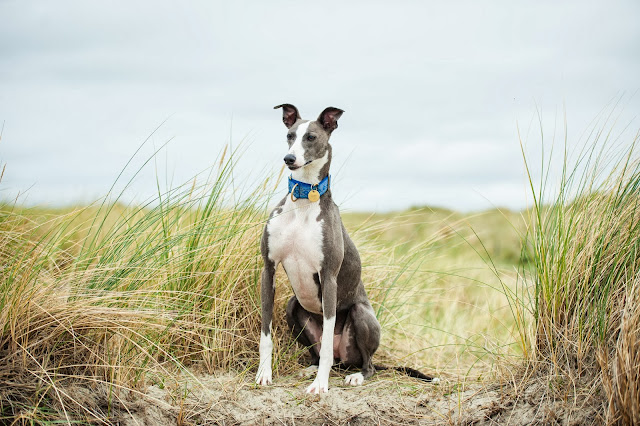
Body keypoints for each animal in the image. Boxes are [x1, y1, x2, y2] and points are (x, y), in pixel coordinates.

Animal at [256, 102, 384, 392]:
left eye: (311, 137)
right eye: (290, 135)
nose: (289, 159)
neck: (304, 200)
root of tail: (345, 360)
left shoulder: (329, 278)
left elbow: (326, 344)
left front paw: (320, 386)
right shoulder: (268, 269)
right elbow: (266, 335)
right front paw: (264, 374)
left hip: (361, 315)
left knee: (365, 363)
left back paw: (356, 375)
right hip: (292, 306)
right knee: (316, 353)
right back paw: (310, 369)